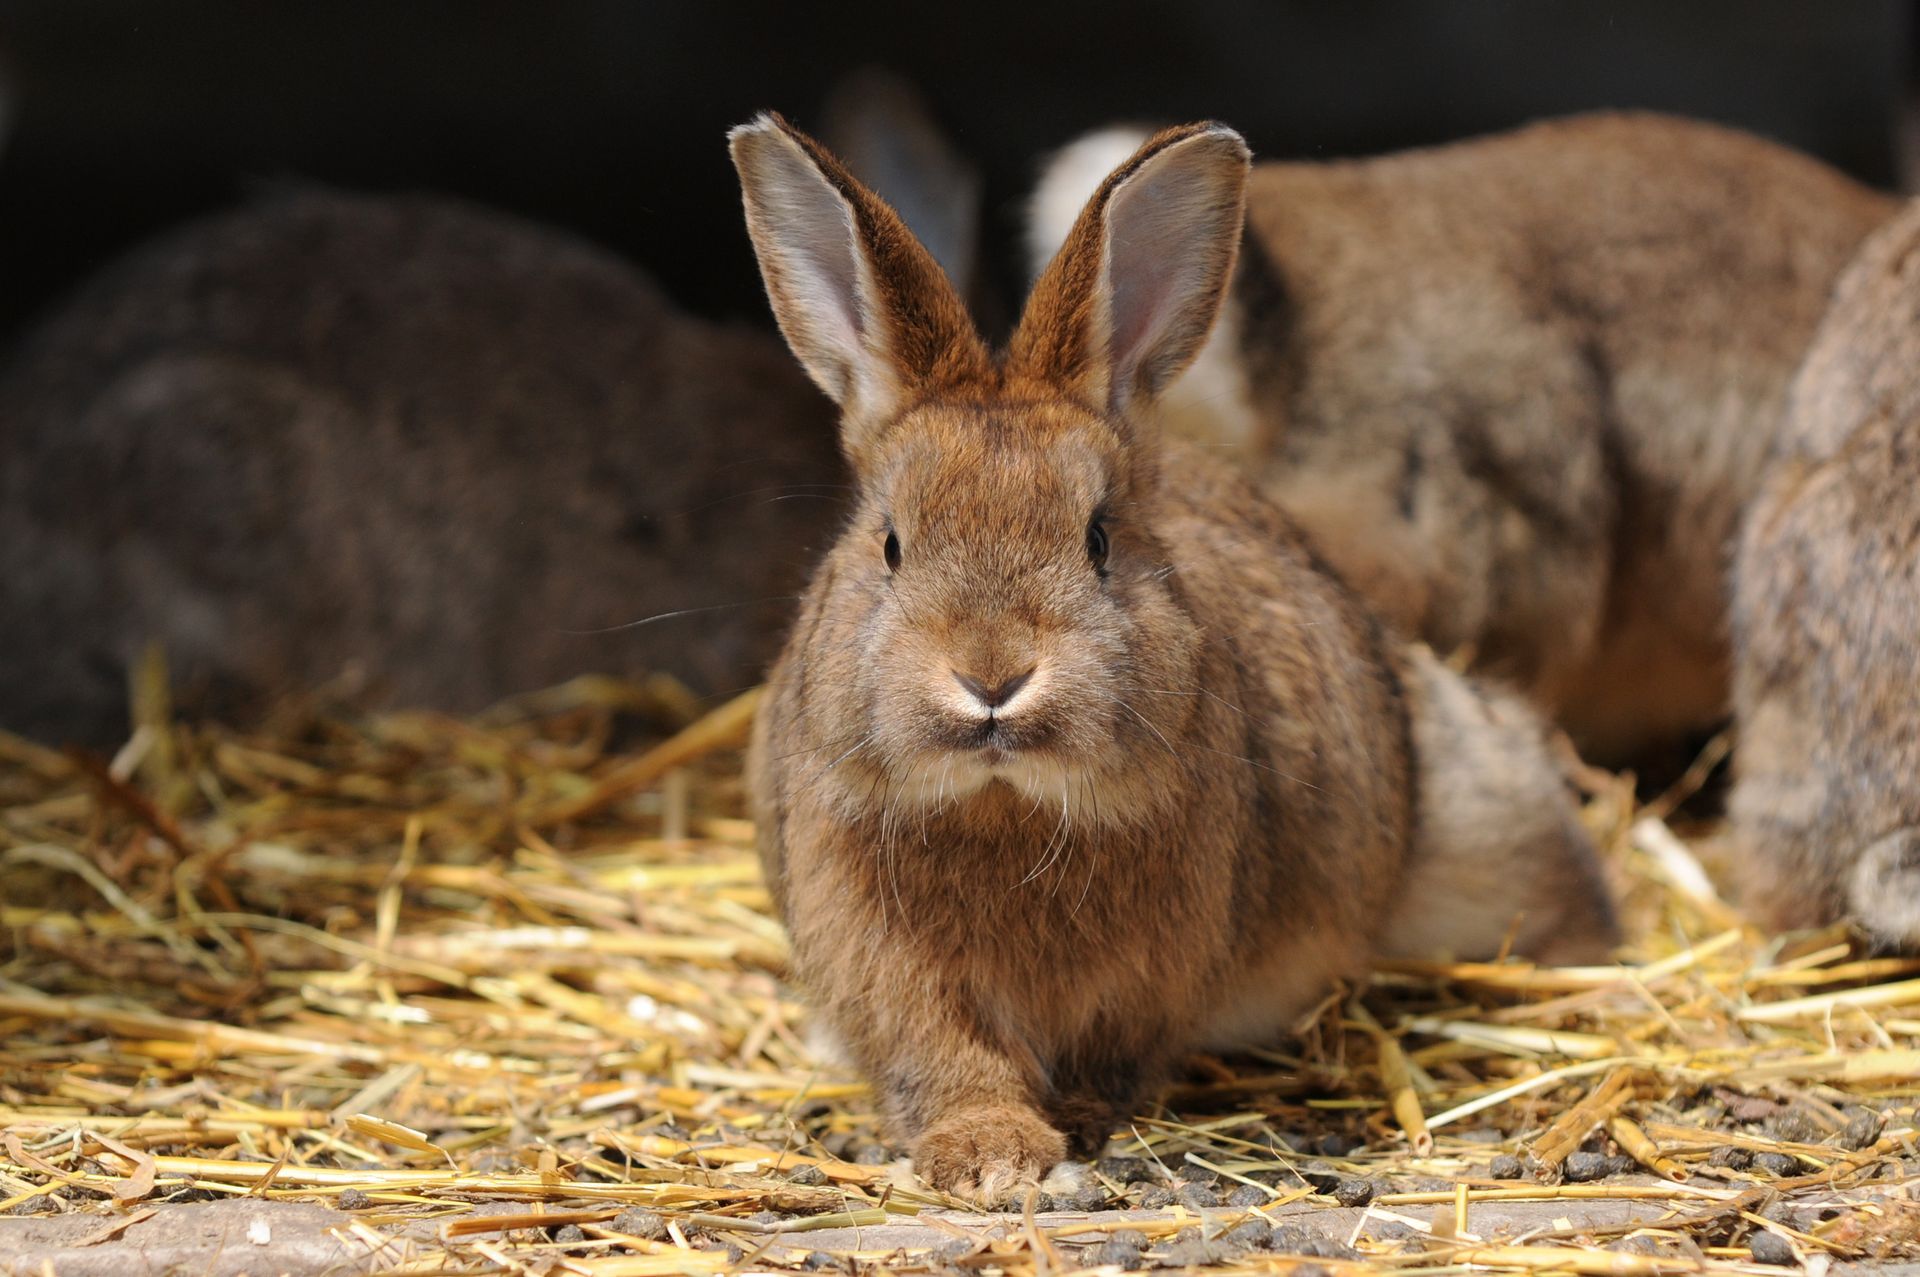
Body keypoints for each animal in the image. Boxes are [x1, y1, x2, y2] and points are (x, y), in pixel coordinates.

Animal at [734, 113, 1617, 1202]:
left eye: (1099, 538)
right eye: (890, 543)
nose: (992, 678)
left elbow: (1110, 1052)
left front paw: (1063, 1130)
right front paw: (987, 1154)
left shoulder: (1148, 976)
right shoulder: (888, 965)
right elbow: (945, 1057)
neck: (1006, 803)